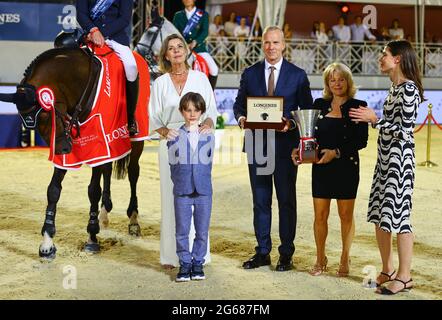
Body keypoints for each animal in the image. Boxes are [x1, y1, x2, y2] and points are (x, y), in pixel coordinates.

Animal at [0, 45, 145, 260]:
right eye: (29, 123)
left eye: (45, 115)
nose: (62, 149)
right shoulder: (71, 142)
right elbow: (53, 190)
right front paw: (47, 243)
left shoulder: (97, 143)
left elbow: (93, 190)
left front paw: (92, 237)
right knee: (108, 170)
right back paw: (105, 212)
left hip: (136, 141)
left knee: (133, 173)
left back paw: (133, 220)